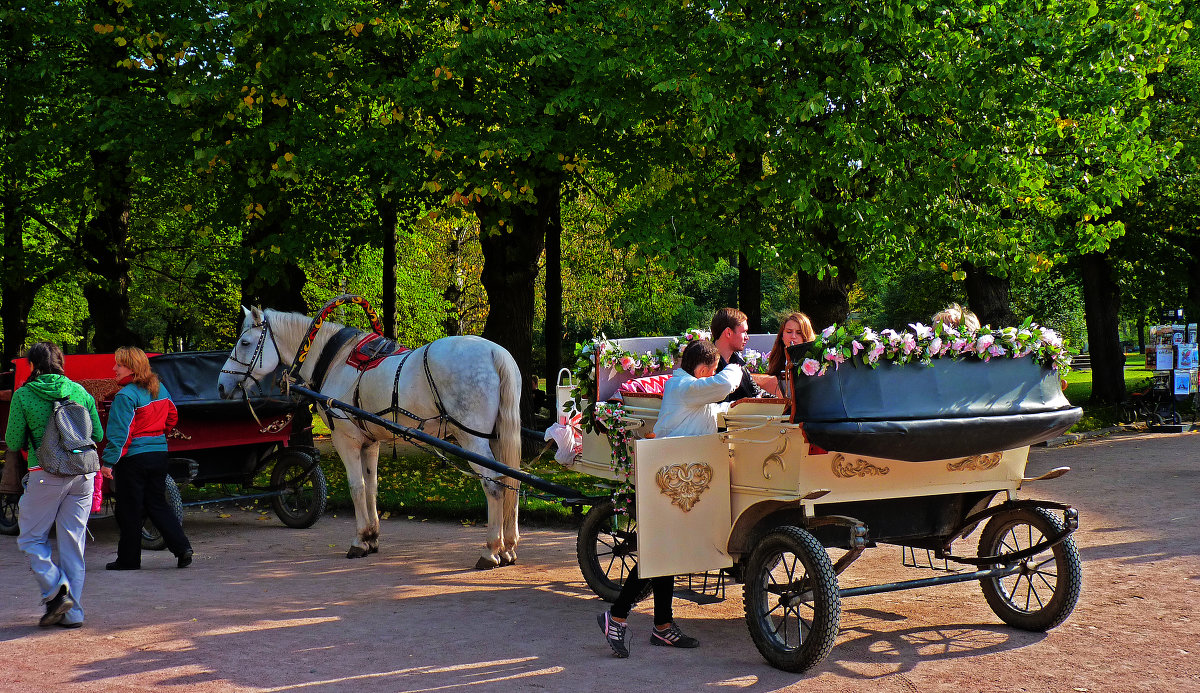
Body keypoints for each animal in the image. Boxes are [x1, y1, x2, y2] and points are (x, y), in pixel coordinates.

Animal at [214, 304, 520, 563]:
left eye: (244, 343)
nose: (221, 385)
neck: (336, 360)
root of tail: (495, 352)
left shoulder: (345, 439)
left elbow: (356, 486)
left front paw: (360, 540)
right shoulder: (370, 442)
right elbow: (372, 486)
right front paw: (372, 536)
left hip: (471, 437)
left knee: (494, 485)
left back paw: (491, 549)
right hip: (495, 437)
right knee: (511, 481)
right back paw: (507, 546)